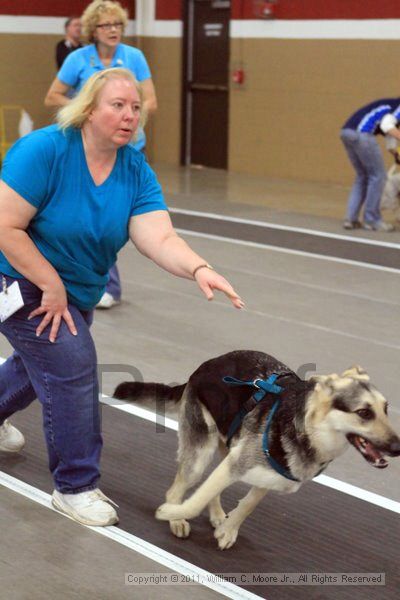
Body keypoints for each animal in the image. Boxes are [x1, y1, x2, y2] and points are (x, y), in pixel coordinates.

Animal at [113, 350, 400, 552]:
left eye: (386, 409)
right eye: (364, 413)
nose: (398, 448)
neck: (309, 429)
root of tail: (203, 367)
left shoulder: (269, 475)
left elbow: (247, 504)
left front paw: (228, 529)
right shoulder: (237, 464)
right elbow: (195, 503)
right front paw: (171, 514)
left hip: (227, 443)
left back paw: (217, 515)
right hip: (200, 454)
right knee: (178, 489)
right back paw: (175, 518)